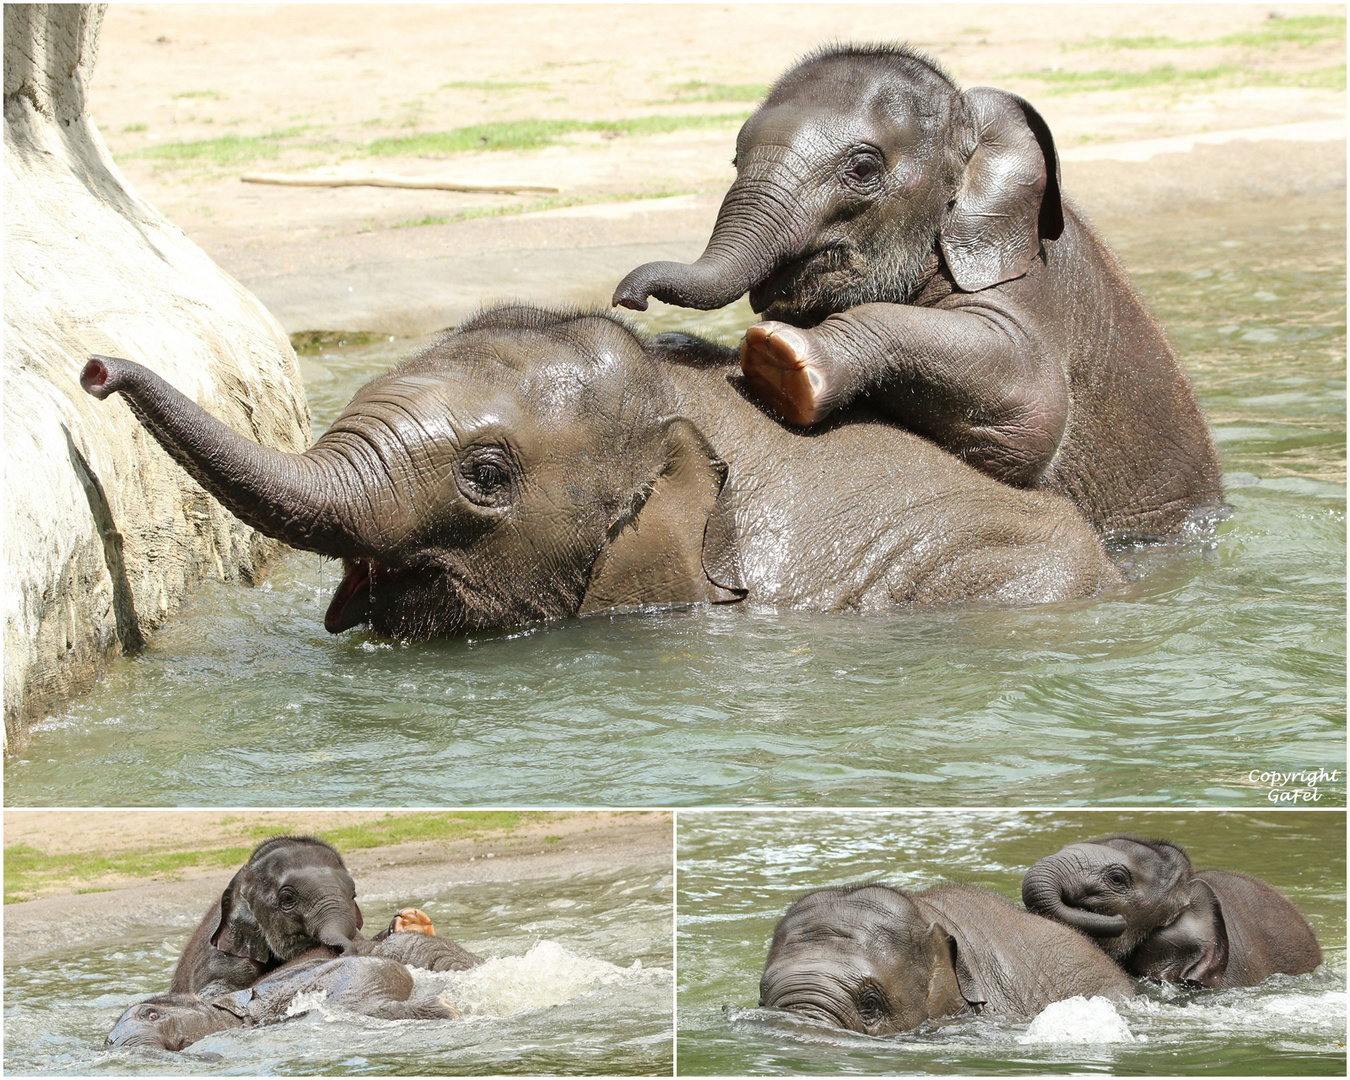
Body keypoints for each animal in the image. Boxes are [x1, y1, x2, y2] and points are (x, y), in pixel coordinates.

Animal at [612, 46, 1225, 545]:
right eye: (736, 161)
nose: (629, 298)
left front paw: (779, 358)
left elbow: (1032, 406)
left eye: (863, 167)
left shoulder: (1032, 282)